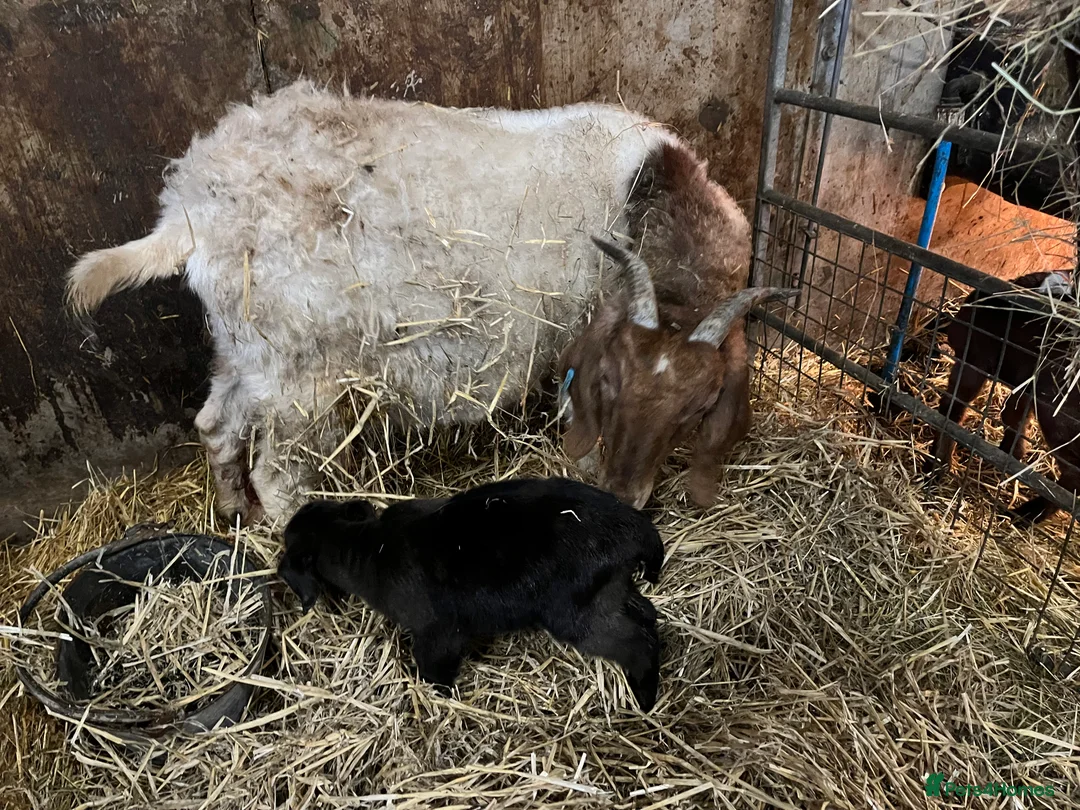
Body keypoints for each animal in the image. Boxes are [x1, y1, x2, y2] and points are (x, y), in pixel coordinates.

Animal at [66, 80, 794, 522]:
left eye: (696, 408)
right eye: (613, 381)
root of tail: (191, 210)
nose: (627, 496)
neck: (652, 197)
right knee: (278, 475)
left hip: (251, 350)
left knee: (216, 422)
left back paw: (234, 515)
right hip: (304, 373)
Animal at [277, 477, 664, 711]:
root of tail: (637, 529)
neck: (366, 547)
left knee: (635, 641)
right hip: (611, 589)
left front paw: (445, 697)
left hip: (576, 611)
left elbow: (433, 669)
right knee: (647, 614)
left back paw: (644, 698)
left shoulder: (438, 633)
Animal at [930, 270, 1080, 523]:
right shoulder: (1025, 380)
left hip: (1056, 413)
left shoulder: (976, 357)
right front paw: (1010, 454)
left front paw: (937, 465)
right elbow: (1013, 414)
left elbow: (954, 405)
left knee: (1073, 475)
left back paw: (1025, 515)